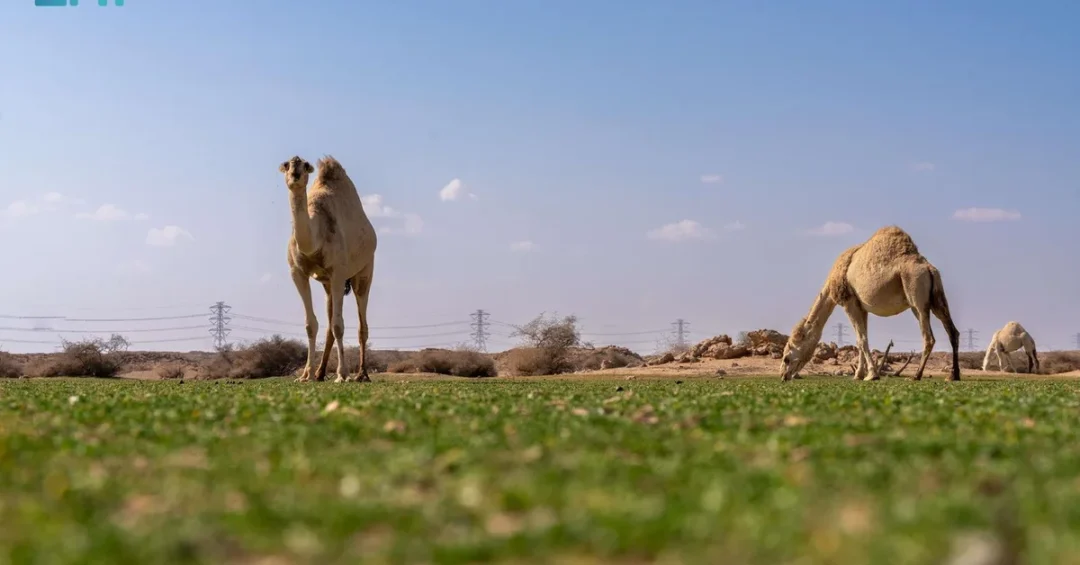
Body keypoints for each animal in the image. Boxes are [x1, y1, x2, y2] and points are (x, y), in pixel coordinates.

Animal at [280, 155, 377, 383]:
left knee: (361, 325)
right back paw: (319, 373)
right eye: (286, 164)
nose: (295, 174)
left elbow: (339, 325)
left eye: (305, 165)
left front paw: (342, 374)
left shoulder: (339, 272)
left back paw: (362, 374)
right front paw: (305, 375)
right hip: (327, 285)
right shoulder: (297, 273)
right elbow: (311, 324)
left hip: (365, 270)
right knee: (329, 324)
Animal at [779, 225, 961, 382]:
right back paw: (953, 375)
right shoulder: (862, 307)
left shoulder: (849, 301)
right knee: (953, 331)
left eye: (787, 357)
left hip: (916, 295)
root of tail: (929, 268)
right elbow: (861, 338)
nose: (783, 375)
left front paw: (871, 375)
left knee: (928, 337)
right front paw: (859, 375)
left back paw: (916, 376)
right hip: (937, 297)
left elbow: (861, 339)